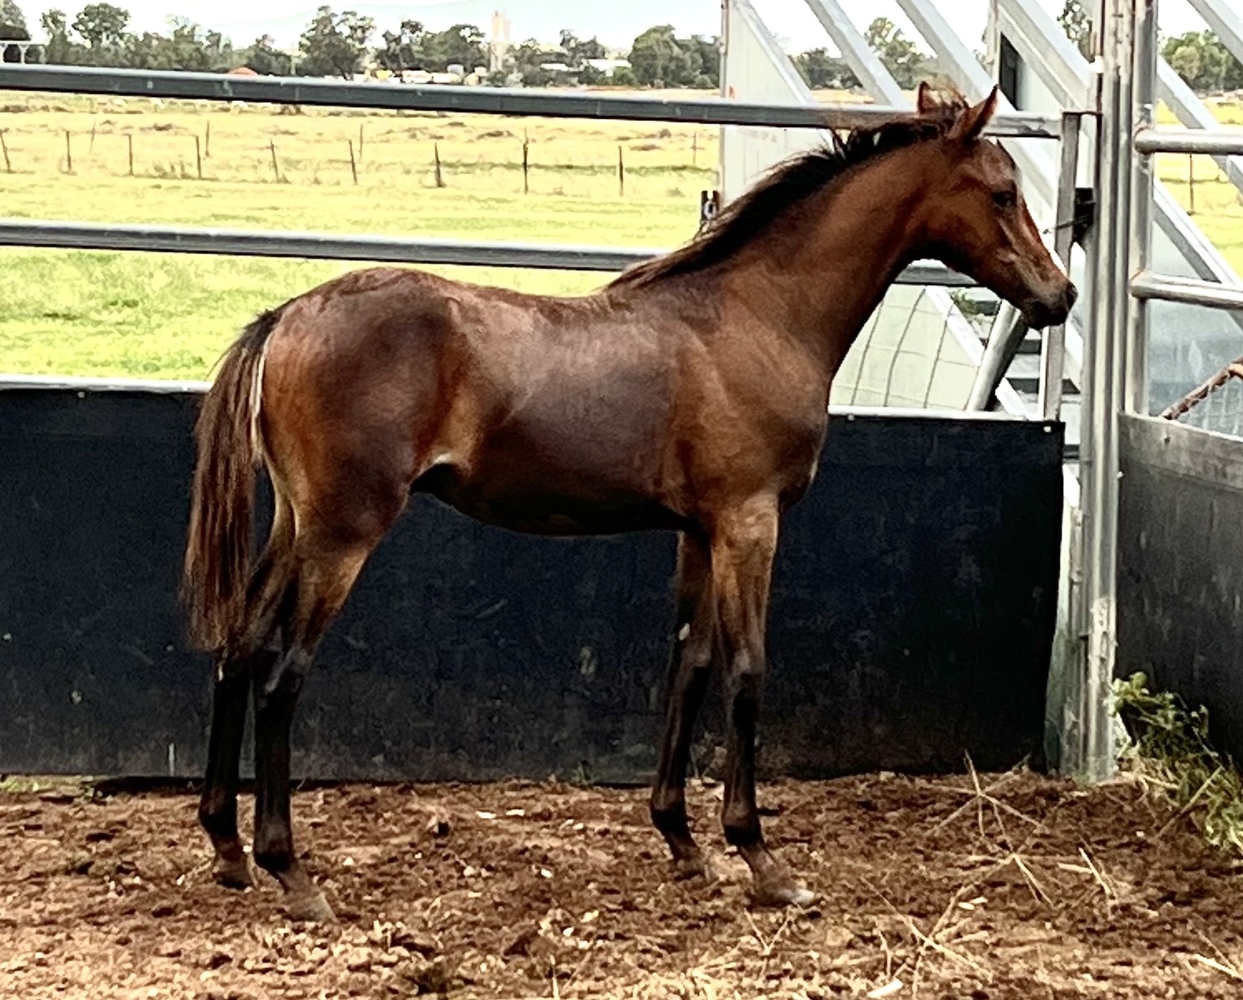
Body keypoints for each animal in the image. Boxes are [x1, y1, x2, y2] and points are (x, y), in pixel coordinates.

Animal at [182, 83, 1076, 922]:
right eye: (1003, 191)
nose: (1058, 295)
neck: (755, 318)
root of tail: (285, 317)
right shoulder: (749, 523)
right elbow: (747, 670)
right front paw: (761, 859)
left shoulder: (698, 531)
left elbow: (690, 664)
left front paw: (681, 840)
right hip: (342, 535)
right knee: (280, 674)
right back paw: (291, 872)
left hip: (296, 527)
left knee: (237, 649)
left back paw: (227, 850)